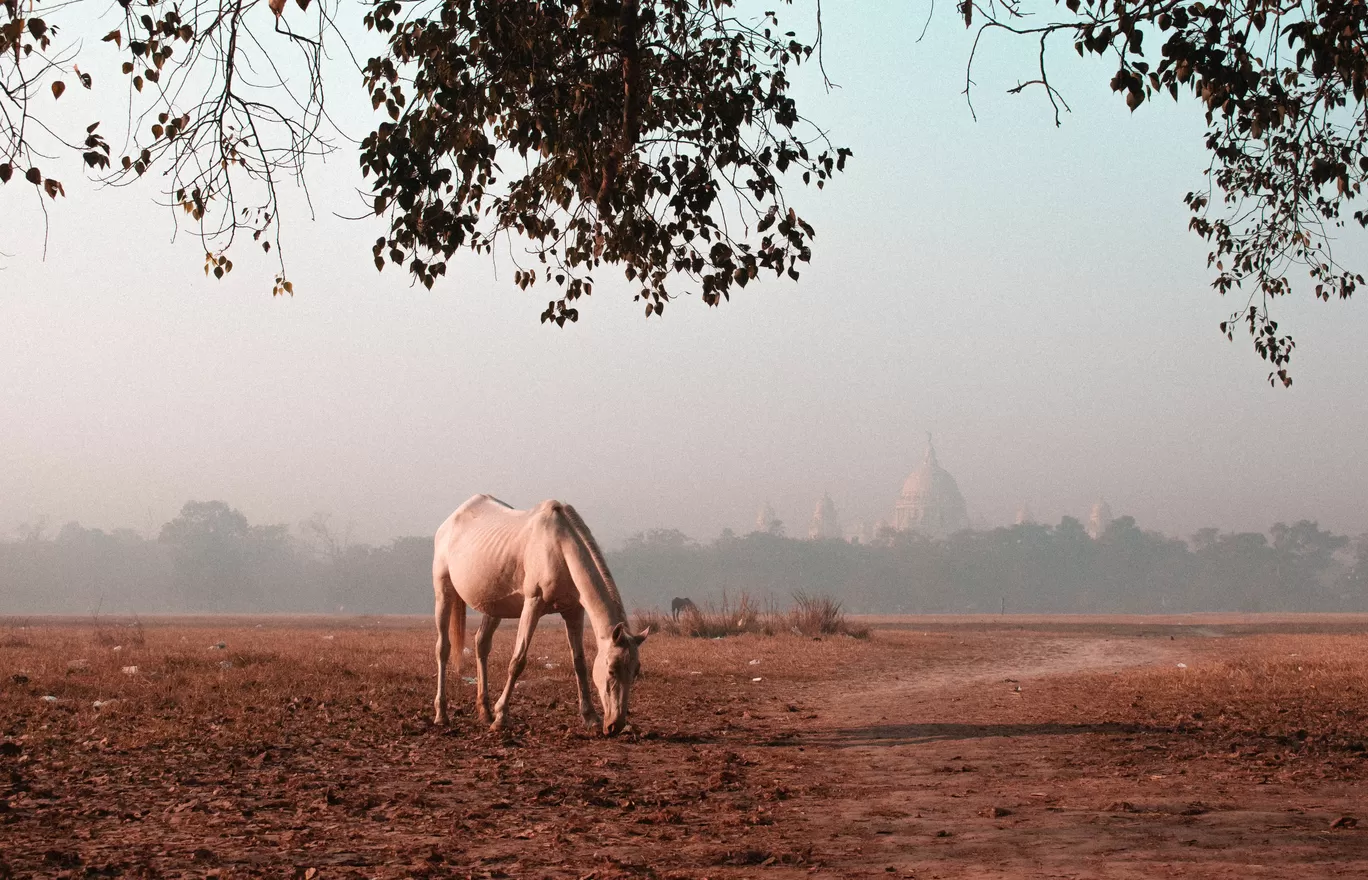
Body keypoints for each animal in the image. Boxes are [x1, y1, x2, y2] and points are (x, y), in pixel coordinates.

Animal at [432, 495, 651, 739]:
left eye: (635, 671)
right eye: (611, 669)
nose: (615, 725)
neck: (558, 546)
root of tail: (449, 522)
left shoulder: (574, 611)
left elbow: (579, 662)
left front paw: (591, 718)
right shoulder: (533, 603)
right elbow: (517, 661)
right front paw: (501, 718)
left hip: (493, 607)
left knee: (482, 645)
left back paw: (485, 712)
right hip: (443, 592)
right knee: (443, 649)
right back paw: (442, 714)